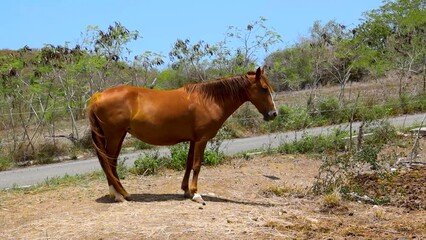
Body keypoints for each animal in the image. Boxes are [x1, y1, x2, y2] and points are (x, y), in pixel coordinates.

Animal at [88, 67, 278, 202]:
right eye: (263, 88)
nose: (273, 114)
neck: (208, 100)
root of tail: (98, 96)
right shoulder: (202, 140)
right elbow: (197, 165)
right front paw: (196, 194)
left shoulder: (193, 140)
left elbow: (188, 164)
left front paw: (186, 190)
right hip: (114, 136)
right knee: (108, 163)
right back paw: (120, 195)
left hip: (118, 136)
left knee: (111, 163)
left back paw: (119, 193)